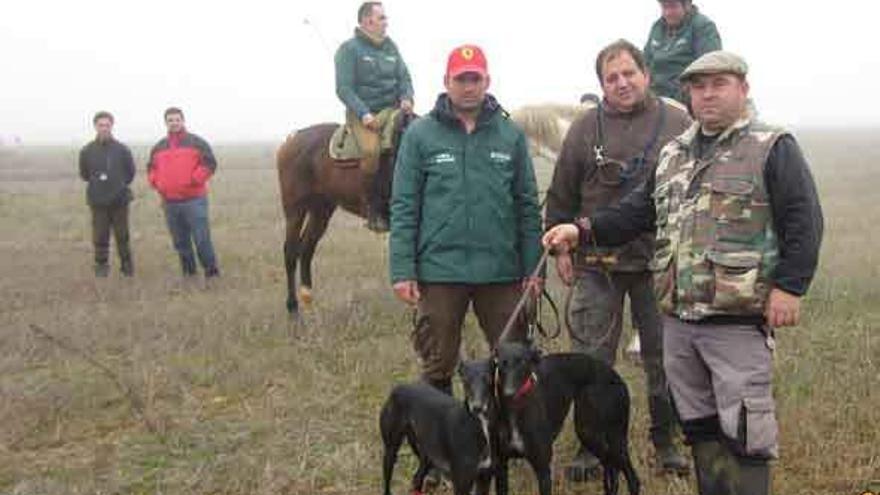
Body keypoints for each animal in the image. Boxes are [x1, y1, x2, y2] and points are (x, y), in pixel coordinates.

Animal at [276, 117, 410, 314]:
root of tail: (292, 138)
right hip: (295, 210)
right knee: (291, 252)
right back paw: (293, 308)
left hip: (321, 210)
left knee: (306, 248)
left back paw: (308, 299)